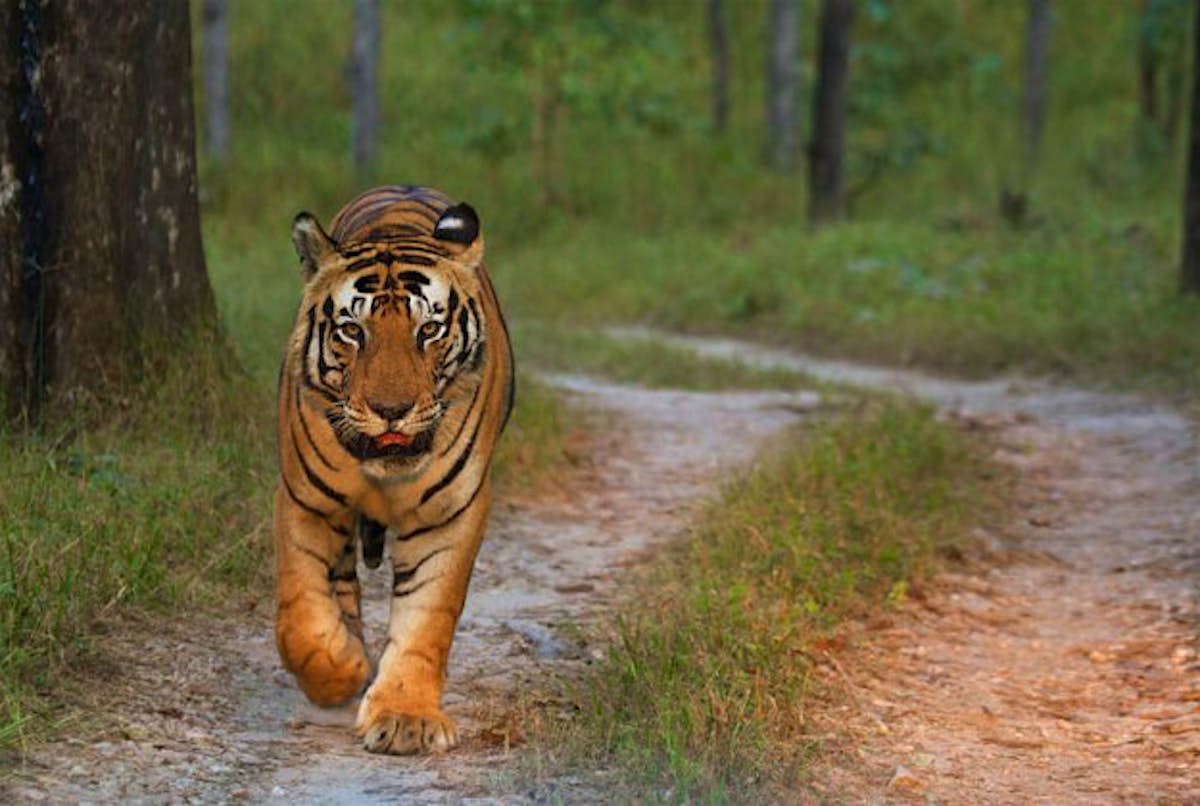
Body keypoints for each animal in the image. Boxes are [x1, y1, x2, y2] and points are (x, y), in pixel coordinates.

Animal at [273, 185, 514, 755]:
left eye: (429, 330)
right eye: (351, 331)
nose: (391, 409)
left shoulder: (448, 515)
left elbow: (427, 617)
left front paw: (406, 718)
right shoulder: (305, 498)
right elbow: (299, 611)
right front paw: (338, 668)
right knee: (340, 582)